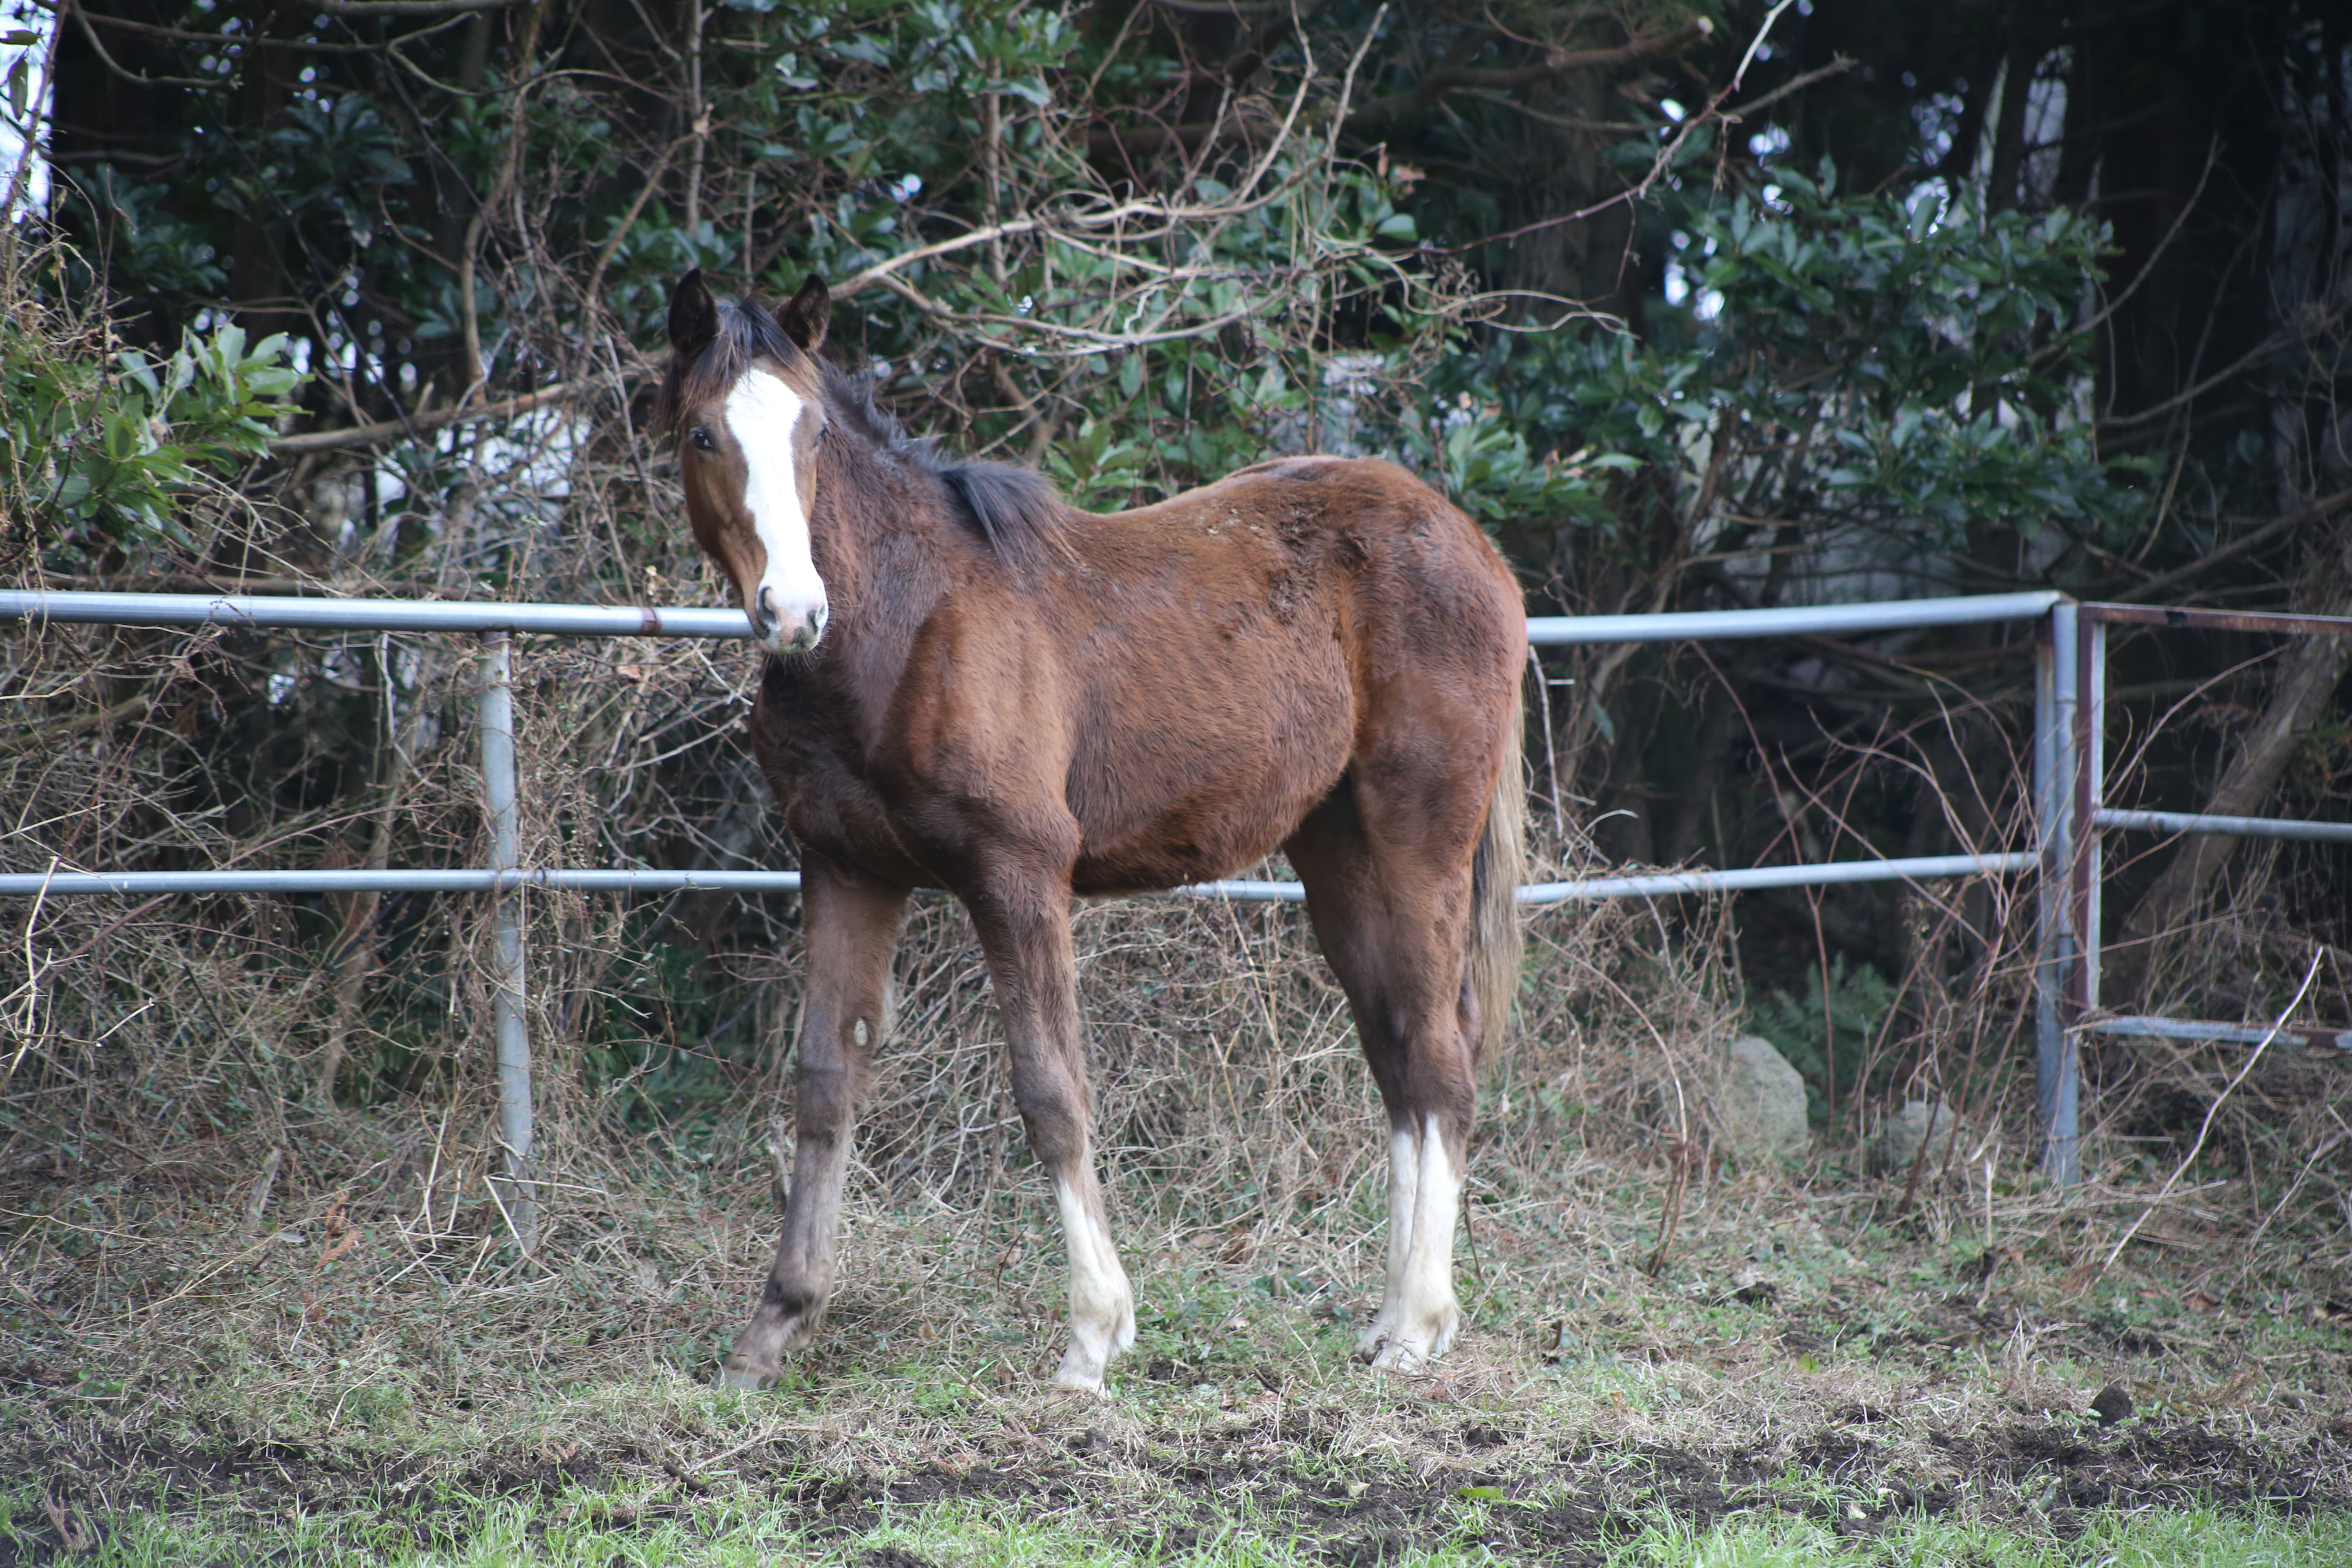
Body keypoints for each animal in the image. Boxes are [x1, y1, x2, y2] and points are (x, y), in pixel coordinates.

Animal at [668, 270, 1524, 1401]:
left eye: (811, 432)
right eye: (703, 433)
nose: (794, 610)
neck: (901, 629)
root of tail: (1473, 543)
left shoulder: (1018, 873)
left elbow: (1051, 1092)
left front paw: (1093, 1337)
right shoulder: (844, 870)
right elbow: (823, 1084)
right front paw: (770, 1332)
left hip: (1418, 840)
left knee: (1437, 1055)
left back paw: (1419, 1326)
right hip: (1337, 854)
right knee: (1396, 1052)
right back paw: (1387, 1319)